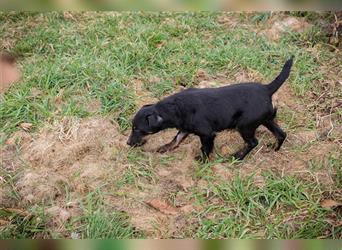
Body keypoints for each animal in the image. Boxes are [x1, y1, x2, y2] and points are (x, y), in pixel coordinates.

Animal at [127, 57, 292, 161]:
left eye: (137, 129)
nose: (128, 143)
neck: (175, 108)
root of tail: (267, 89)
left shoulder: (207, 134)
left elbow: (205, 148)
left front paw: (202, 160)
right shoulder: (185, 128)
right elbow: (176, 139)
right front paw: (165, 148)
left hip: (245, 126)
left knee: (253, 142)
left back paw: (237, 157)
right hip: (266, 120)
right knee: (281, 134)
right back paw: (275, 149)